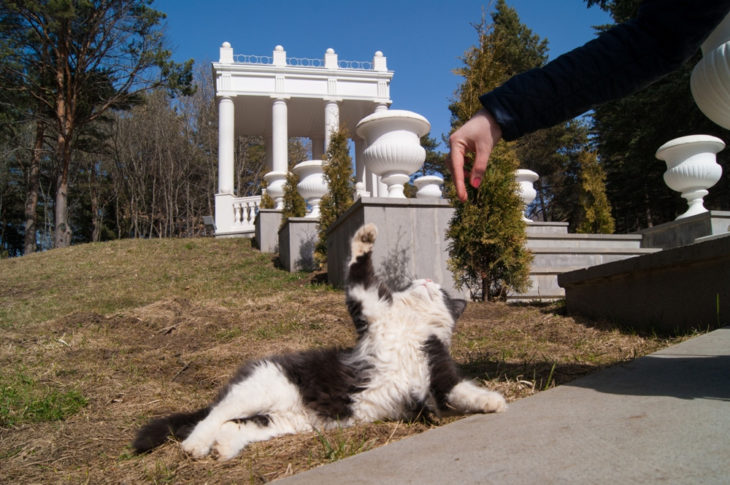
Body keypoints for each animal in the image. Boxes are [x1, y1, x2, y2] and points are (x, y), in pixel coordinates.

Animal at [132, 223, 506, 458]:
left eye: (439, 290)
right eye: (415, 283)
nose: (425, 280)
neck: (408, 325)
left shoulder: (437, 367)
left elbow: (461, 390)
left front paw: (491, 402)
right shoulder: (366, 302)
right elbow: (359, 267)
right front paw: (366, 236)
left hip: (281, 421)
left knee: (233, 425)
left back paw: (222, 448)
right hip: (258, 389)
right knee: (212, 415)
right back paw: (195, 447)